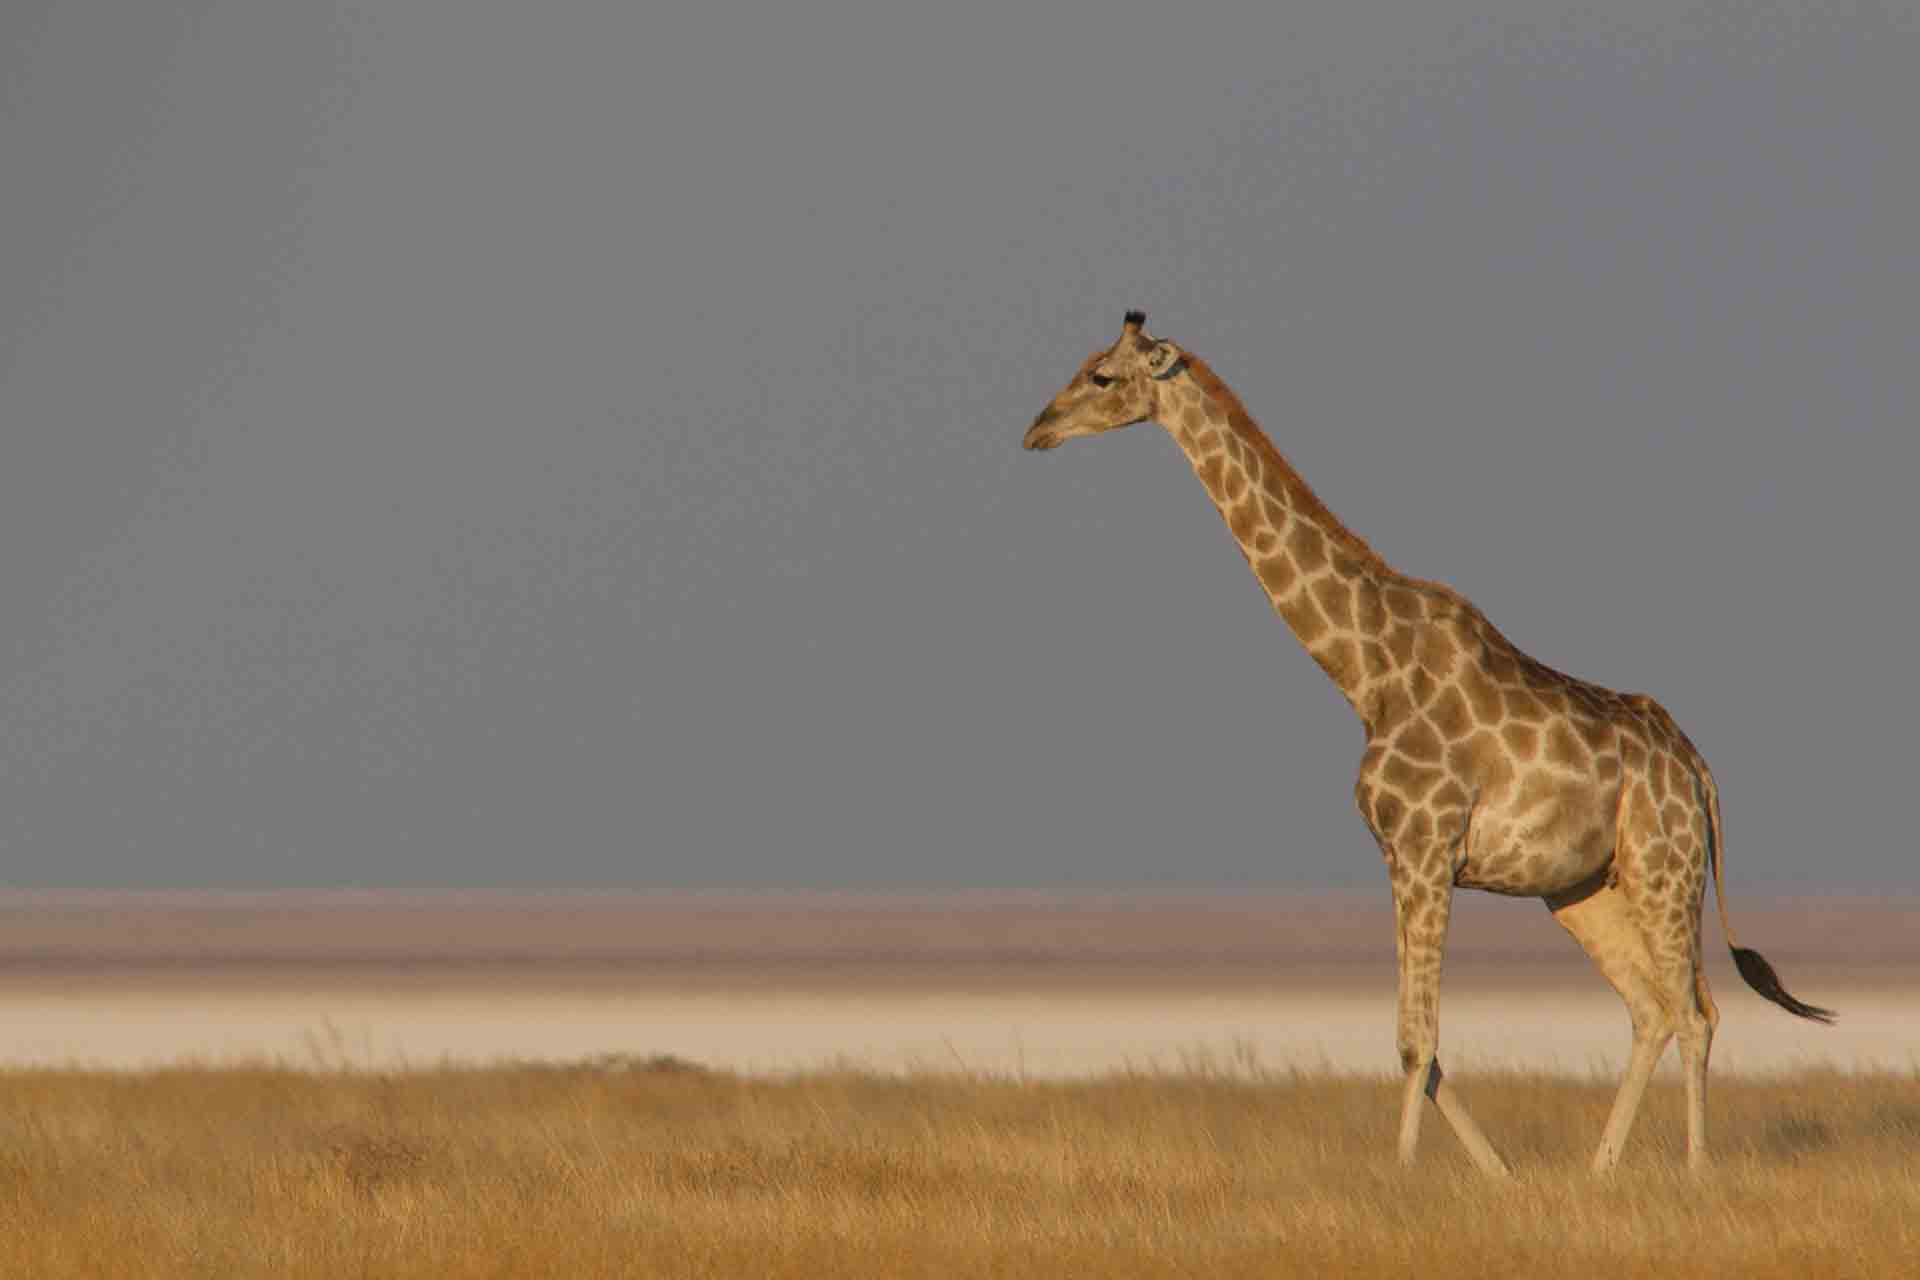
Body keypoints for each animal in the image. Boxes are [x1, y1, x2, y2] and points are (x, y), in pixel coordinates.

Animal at [1029, 310, 1835, 1174]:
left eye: (1102, 376)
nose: (1038, 429)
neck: (1365, 667)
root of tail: (1698, 769)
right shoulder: (1400, 857)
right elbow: (1425, 1043)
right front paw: (1500, 1176)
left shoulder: (1424, 849)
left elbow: (1416, 1039)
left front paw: (1403, 1175)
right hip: (1585, 887)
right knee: (1651, 1009)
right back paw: (1599, 1172)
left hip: (1664, 869)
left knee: (1696, 1012)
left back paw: (1693, 1171)